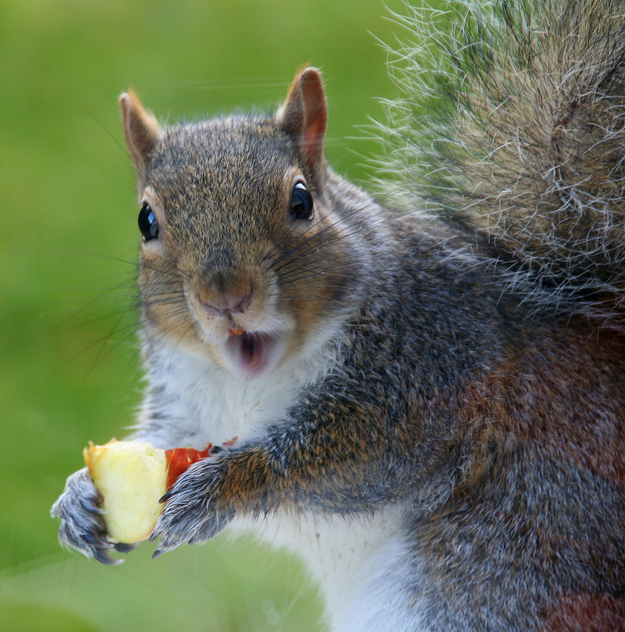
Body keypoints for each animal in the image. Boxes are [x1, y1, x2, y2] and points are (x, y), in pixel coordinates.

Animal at [52, 0, 624, 628]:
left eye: (301, 201)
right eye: (146, 221)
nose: (225, 296)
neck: (251, 384)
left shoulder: (431, 363)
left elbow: (348, 457)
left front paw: (225, 484)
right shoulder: (190, 401)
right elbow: (168, 438)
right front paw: (78, 495)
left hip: (503, 574)